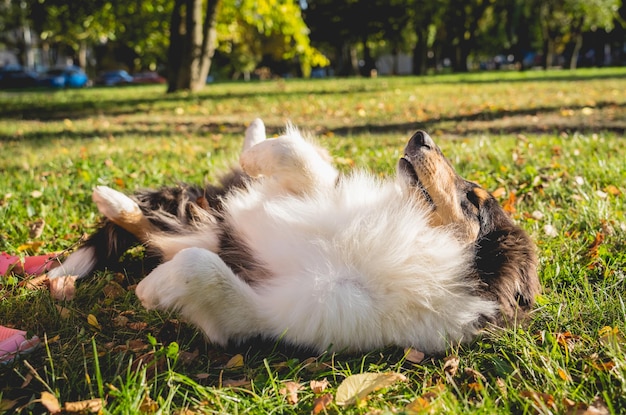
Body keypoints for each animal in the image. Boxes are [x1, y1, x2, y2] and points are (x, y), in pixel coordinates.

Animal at [47, 119, 536, 354]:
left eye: (473, 200)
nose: (421, 135)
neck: (414, 230)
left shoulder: (269, 311)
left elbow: (203, 271)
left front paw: (153, 288)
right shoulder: (315, 192)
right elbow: (300, 156)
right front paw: (256, 152)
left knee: (172, 241)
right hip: (210, 211)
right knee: (154, 222)